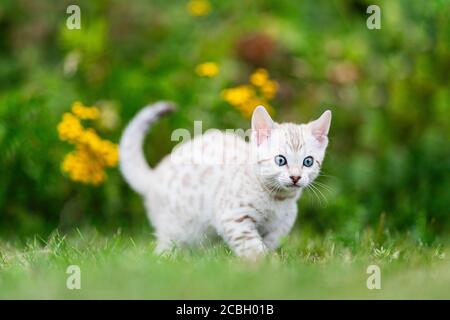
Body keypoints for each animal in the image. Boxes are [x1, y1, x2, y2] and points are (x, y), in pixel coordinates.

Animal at [119, 102, 330, 260]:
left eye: (308, 161)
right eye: (280, 160)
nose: (295, 177)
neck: (277, 200)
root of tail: (156, 174)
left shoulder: (278, 228)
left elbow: (267, 243)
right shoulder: (233, 216)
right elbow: (251, 245)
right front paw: (263, 265)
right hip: (177, 228)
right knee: (167, 245)